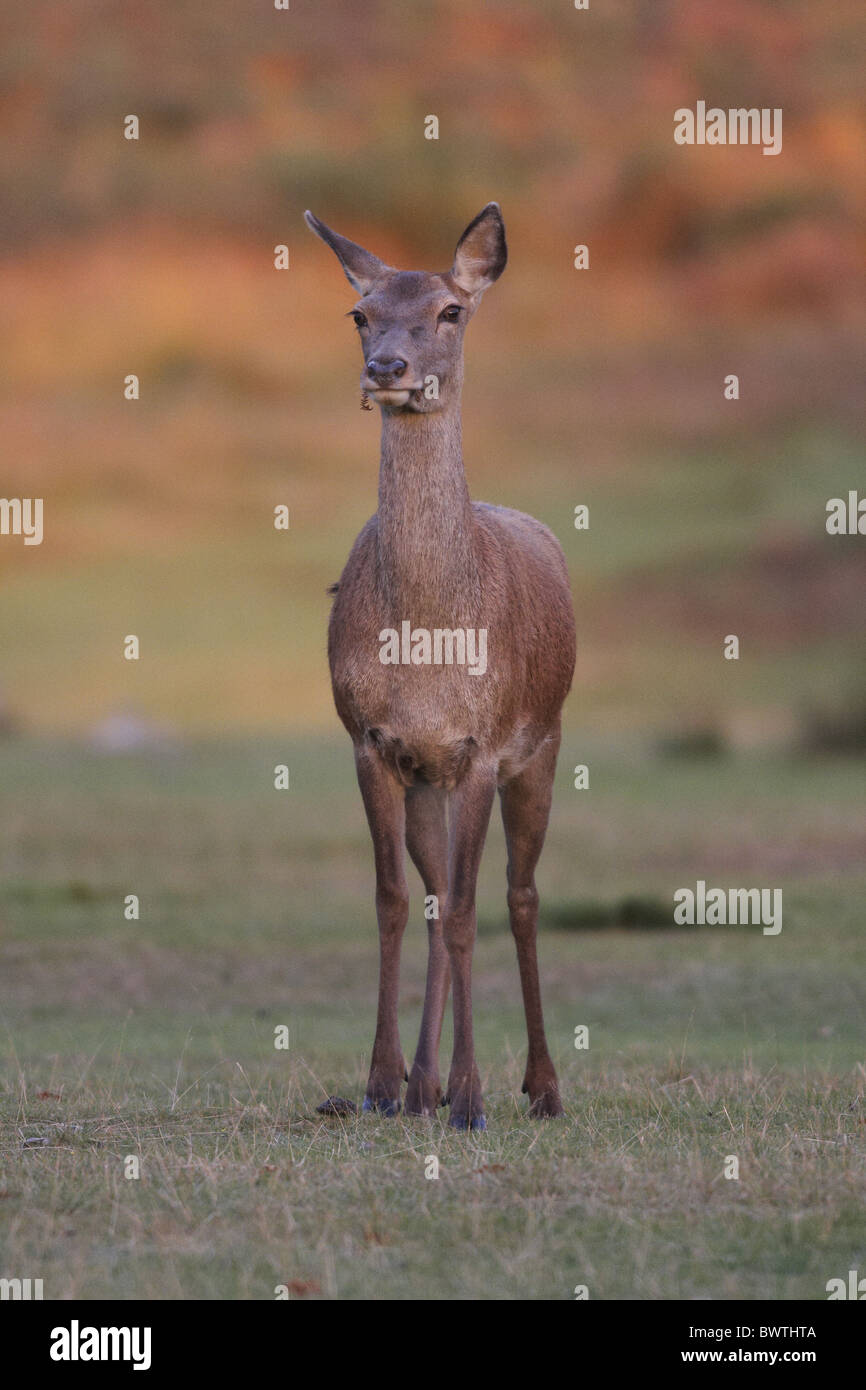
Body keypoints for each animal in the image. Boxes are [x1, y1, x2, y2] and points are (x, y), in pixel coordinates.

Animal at [305, 203, 576, 1130]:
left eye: (450, 312)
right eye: (359, 314)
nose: (388, 368)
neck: (428, 639)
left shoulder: (483, 748)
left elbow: (467, 911)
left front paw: (473, 1098)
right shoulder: (373, 742)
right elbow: (394, 901)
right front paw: (382, 1084)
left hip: (544, 743)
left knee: (518, 895)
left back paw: (540, 1086)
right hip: (430, 781)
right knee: (431, 896)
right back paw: (422, 1088)